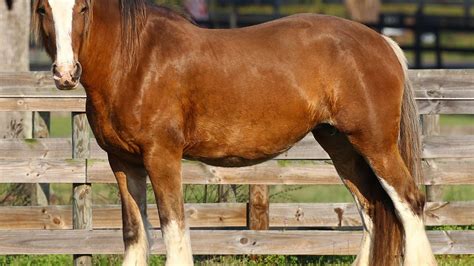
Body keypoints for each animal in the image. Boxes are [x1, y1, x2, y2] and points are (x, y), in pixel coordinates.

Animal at [31, 0, 436, 264]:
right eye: (42, 9)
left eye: (83, 8)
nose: (65, 73)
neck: (135, 61)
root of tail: (382, 43)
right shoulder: (123, 162)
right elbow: (135, 233)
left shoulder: (162, 157)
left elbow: (174, 229)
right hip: (342, 147)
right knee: (372, 211)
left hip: (376, 145)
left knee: (409, 203)